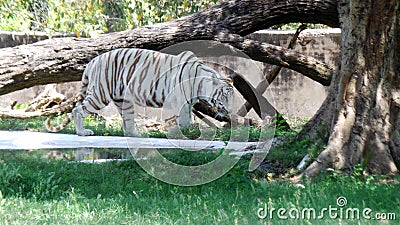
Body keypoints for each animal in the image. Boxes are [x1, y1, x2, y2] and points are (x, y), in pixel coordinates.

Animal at [45, 48, 234, 136]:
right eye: (224, 97)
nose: (229, 111)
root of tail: (92, 61)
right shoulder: (180, 101)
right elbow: (185, 120)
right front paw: (183, 134)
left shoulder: (188, 103)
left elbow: (188, 119)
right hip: (100, 94)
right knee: (78, 110)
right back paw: (82, 132)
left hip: (123, 99)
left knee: (127, 122)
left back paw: (137, 134)